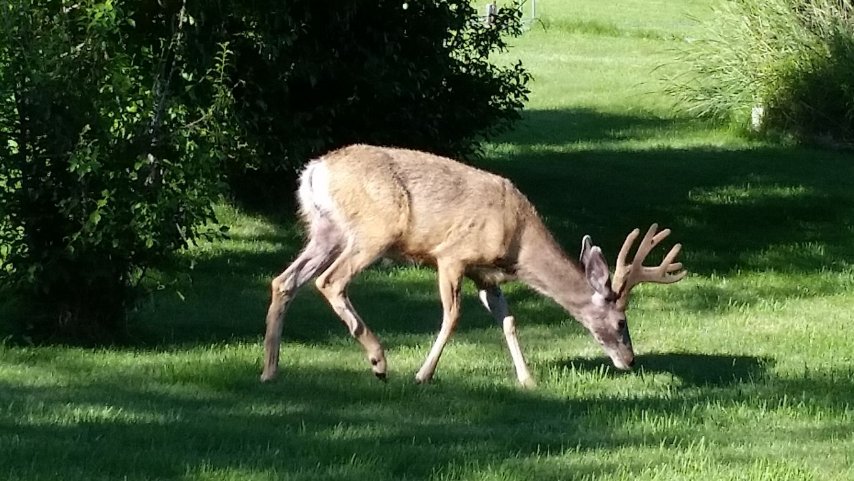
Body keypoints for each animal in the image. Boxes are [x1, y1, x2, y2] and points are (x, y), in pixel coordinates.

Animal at [260, 142, 688, 386]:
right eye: (621, 322)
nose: (630, 361)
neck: (517, 241)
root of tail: (314, 170)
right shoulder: (452, 255)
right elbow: (453, 316)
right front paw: (423, 374)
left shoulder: (486, 275)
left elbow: (509, 321)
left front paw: (527, 380)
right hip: (374, 229)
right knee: (330, 281)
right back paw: (379, 361)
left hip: (325, 229)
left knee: (284, 280)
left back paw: (269, 370)